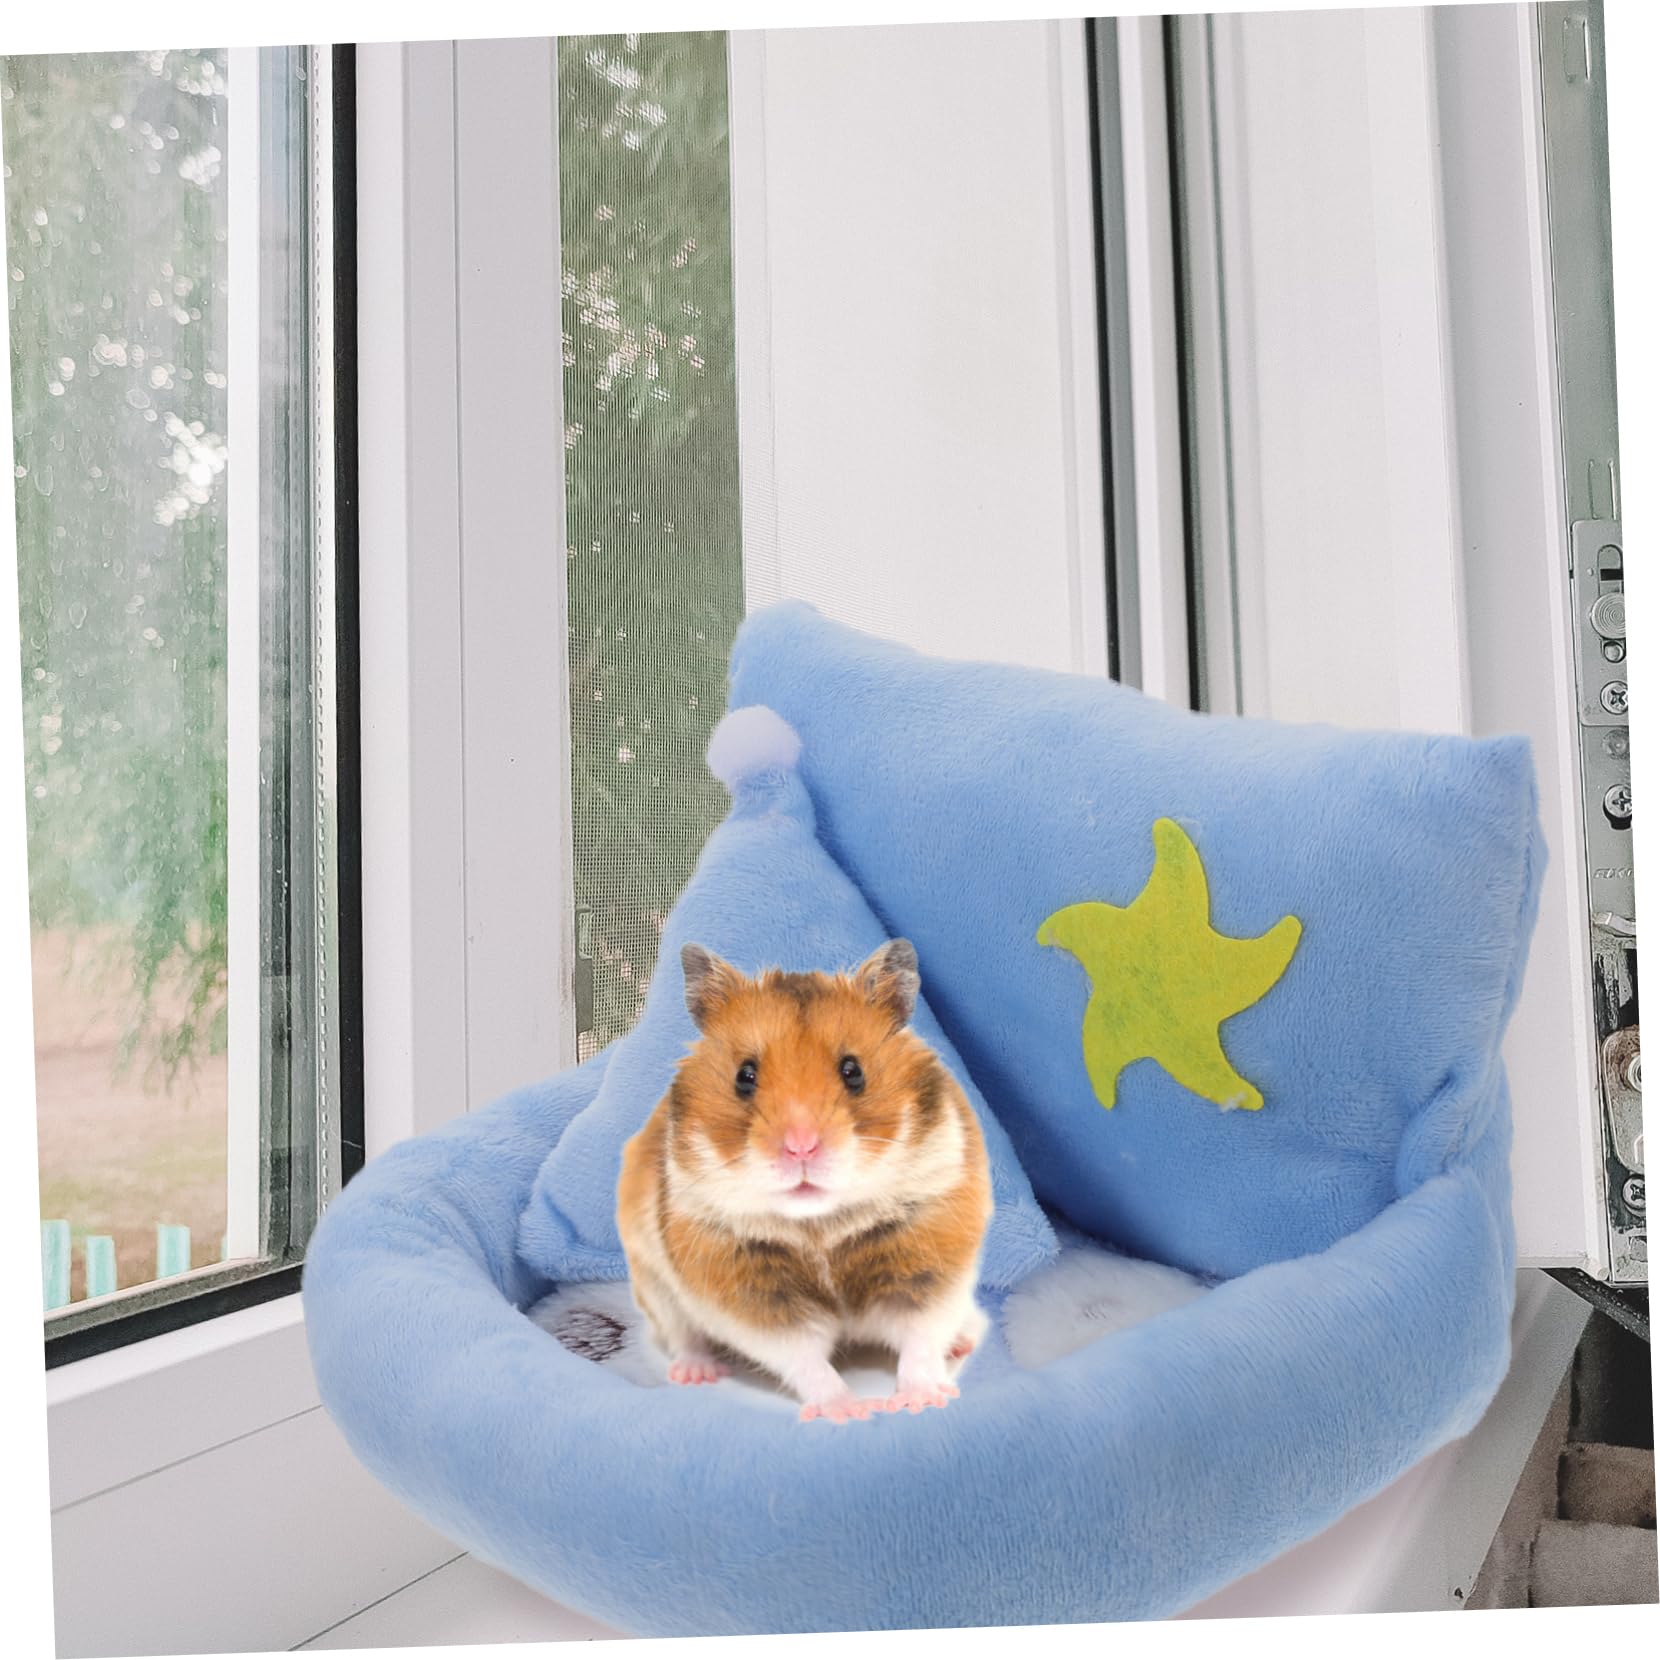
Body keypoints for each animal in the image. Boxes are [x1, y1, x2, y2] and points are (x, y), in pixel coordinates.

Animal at [616, 938, 994, 1424]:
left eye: (853, 1071)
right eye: (745, 1076)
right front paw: (850, 1410)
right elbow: (805, 1359)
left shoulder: (930, 1263)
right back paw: (696, 1372)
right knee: (683, 1335)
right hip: (653, 1283)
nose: (801, 1148)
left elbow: (920, 1339)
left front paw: (919, 1400)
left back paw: (963, 1340)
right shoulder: (750, 1292)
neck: (821, 1225)